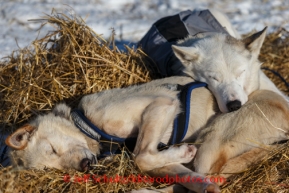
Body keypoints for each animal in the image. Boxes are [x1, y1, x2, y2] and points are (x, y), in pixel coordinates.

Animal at [5, 76, 288, 192]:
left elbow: (140, 156)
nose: (85, 165)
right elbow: (179, 173)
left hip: (213, 138)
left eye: (52, 149)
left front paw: (183, 150)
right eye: (52, 169)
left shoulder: (161, 105)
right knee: (206, 176)